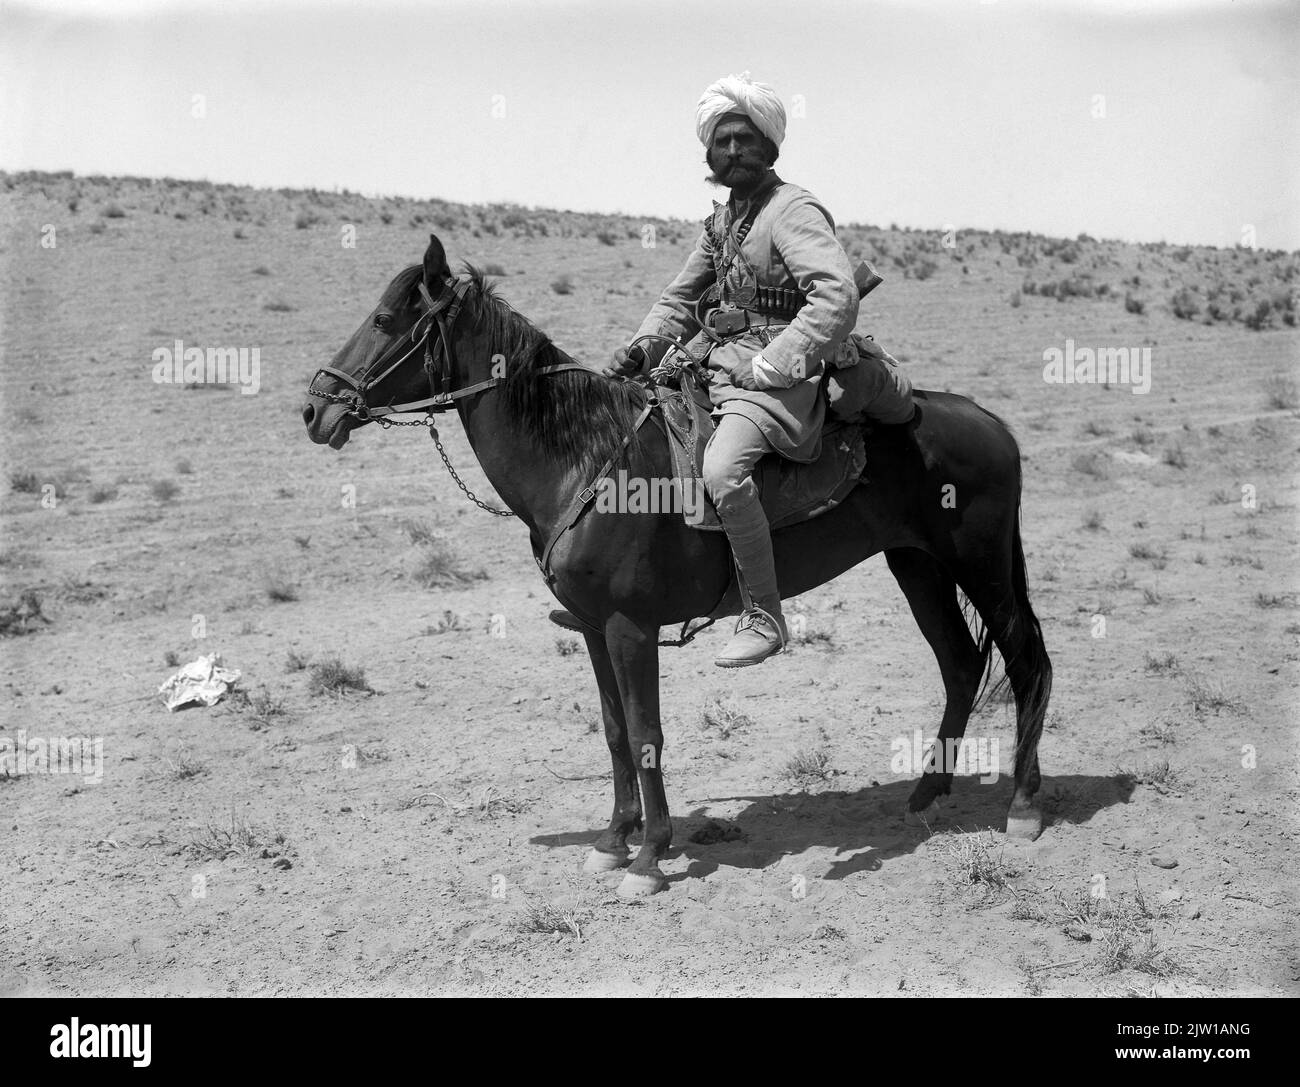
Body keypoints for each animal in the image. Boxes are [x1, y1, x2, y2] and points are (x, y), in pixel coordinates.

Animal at [299, 234, 1050, 894]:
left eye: (386, 320)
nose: (314, 409)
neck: (585, 463)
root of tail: (991, 422)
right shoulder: (593, 628)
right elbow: (613, 733)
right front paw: (613, 839)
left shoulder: (631, 628)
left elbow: (645, 732)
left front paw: (650, 856)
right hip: (918, 565)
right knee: (961, 662)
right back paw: (928, 789)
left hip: (980, 566)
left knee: (1025, 662)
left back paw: (1024, 806)